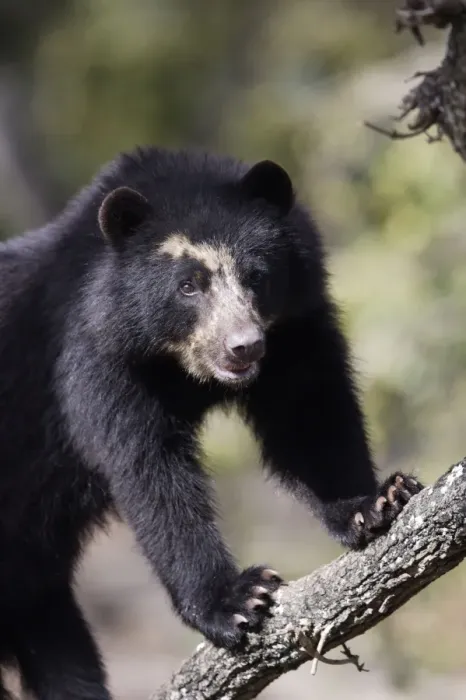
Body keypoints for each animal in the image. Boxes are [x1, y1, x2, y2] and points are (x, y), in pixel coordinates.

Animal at [0, 146, 422, 699]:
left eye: (257, 275)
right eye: (188, 286)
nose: (244, 346)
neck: (178, 364)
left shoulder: (293, 331)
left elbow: (309, 414)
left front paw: (375, 503)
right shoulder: (96, 358)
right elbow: (150, 470)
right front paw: (238, 600)